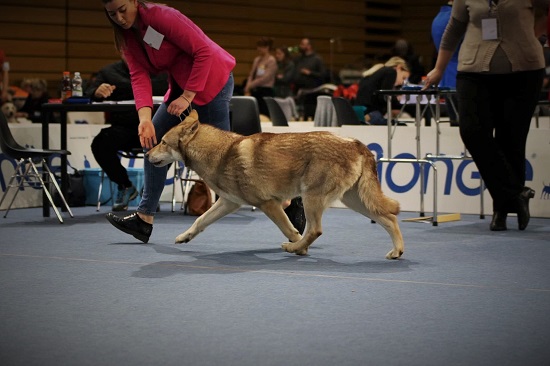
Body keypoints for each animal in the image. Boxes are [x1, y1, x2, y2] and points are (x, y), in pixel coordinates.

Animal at [147, 110, 406, 258]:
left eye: (162, 142)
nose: (146, 153)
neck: (221, 152)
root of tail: (355, 143)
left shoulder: (268, 204)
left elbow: (290, 230)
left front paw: (299, 248)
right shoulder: (229, 203)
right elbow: (200, 220)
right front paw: (184, 237)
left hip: (313, 198)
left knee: (315, 230)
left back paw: (294, 249)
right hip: (352, 201)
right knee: (389, 219)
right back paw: (397, 252)